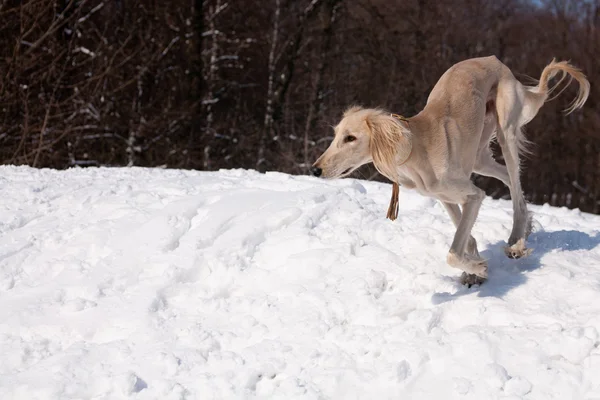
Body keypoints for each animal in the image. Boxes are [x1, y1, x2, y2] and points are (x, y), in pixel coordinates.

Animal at [312, 56, 588, 286]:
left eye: (350, 138)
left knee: (515, 184)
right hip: (479, 156)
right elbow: (467, 237)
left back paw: (517, 243)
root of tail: (494, 60)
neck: (416, 147)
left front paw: (478, 268)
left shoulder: (473, 195)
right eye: (336, 134)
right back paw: (524, 229)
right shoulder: (444, 196)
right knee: (508, 178)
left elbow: (453, 253)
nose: (315, 170)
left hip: (506, 131)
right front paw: (474, 269)